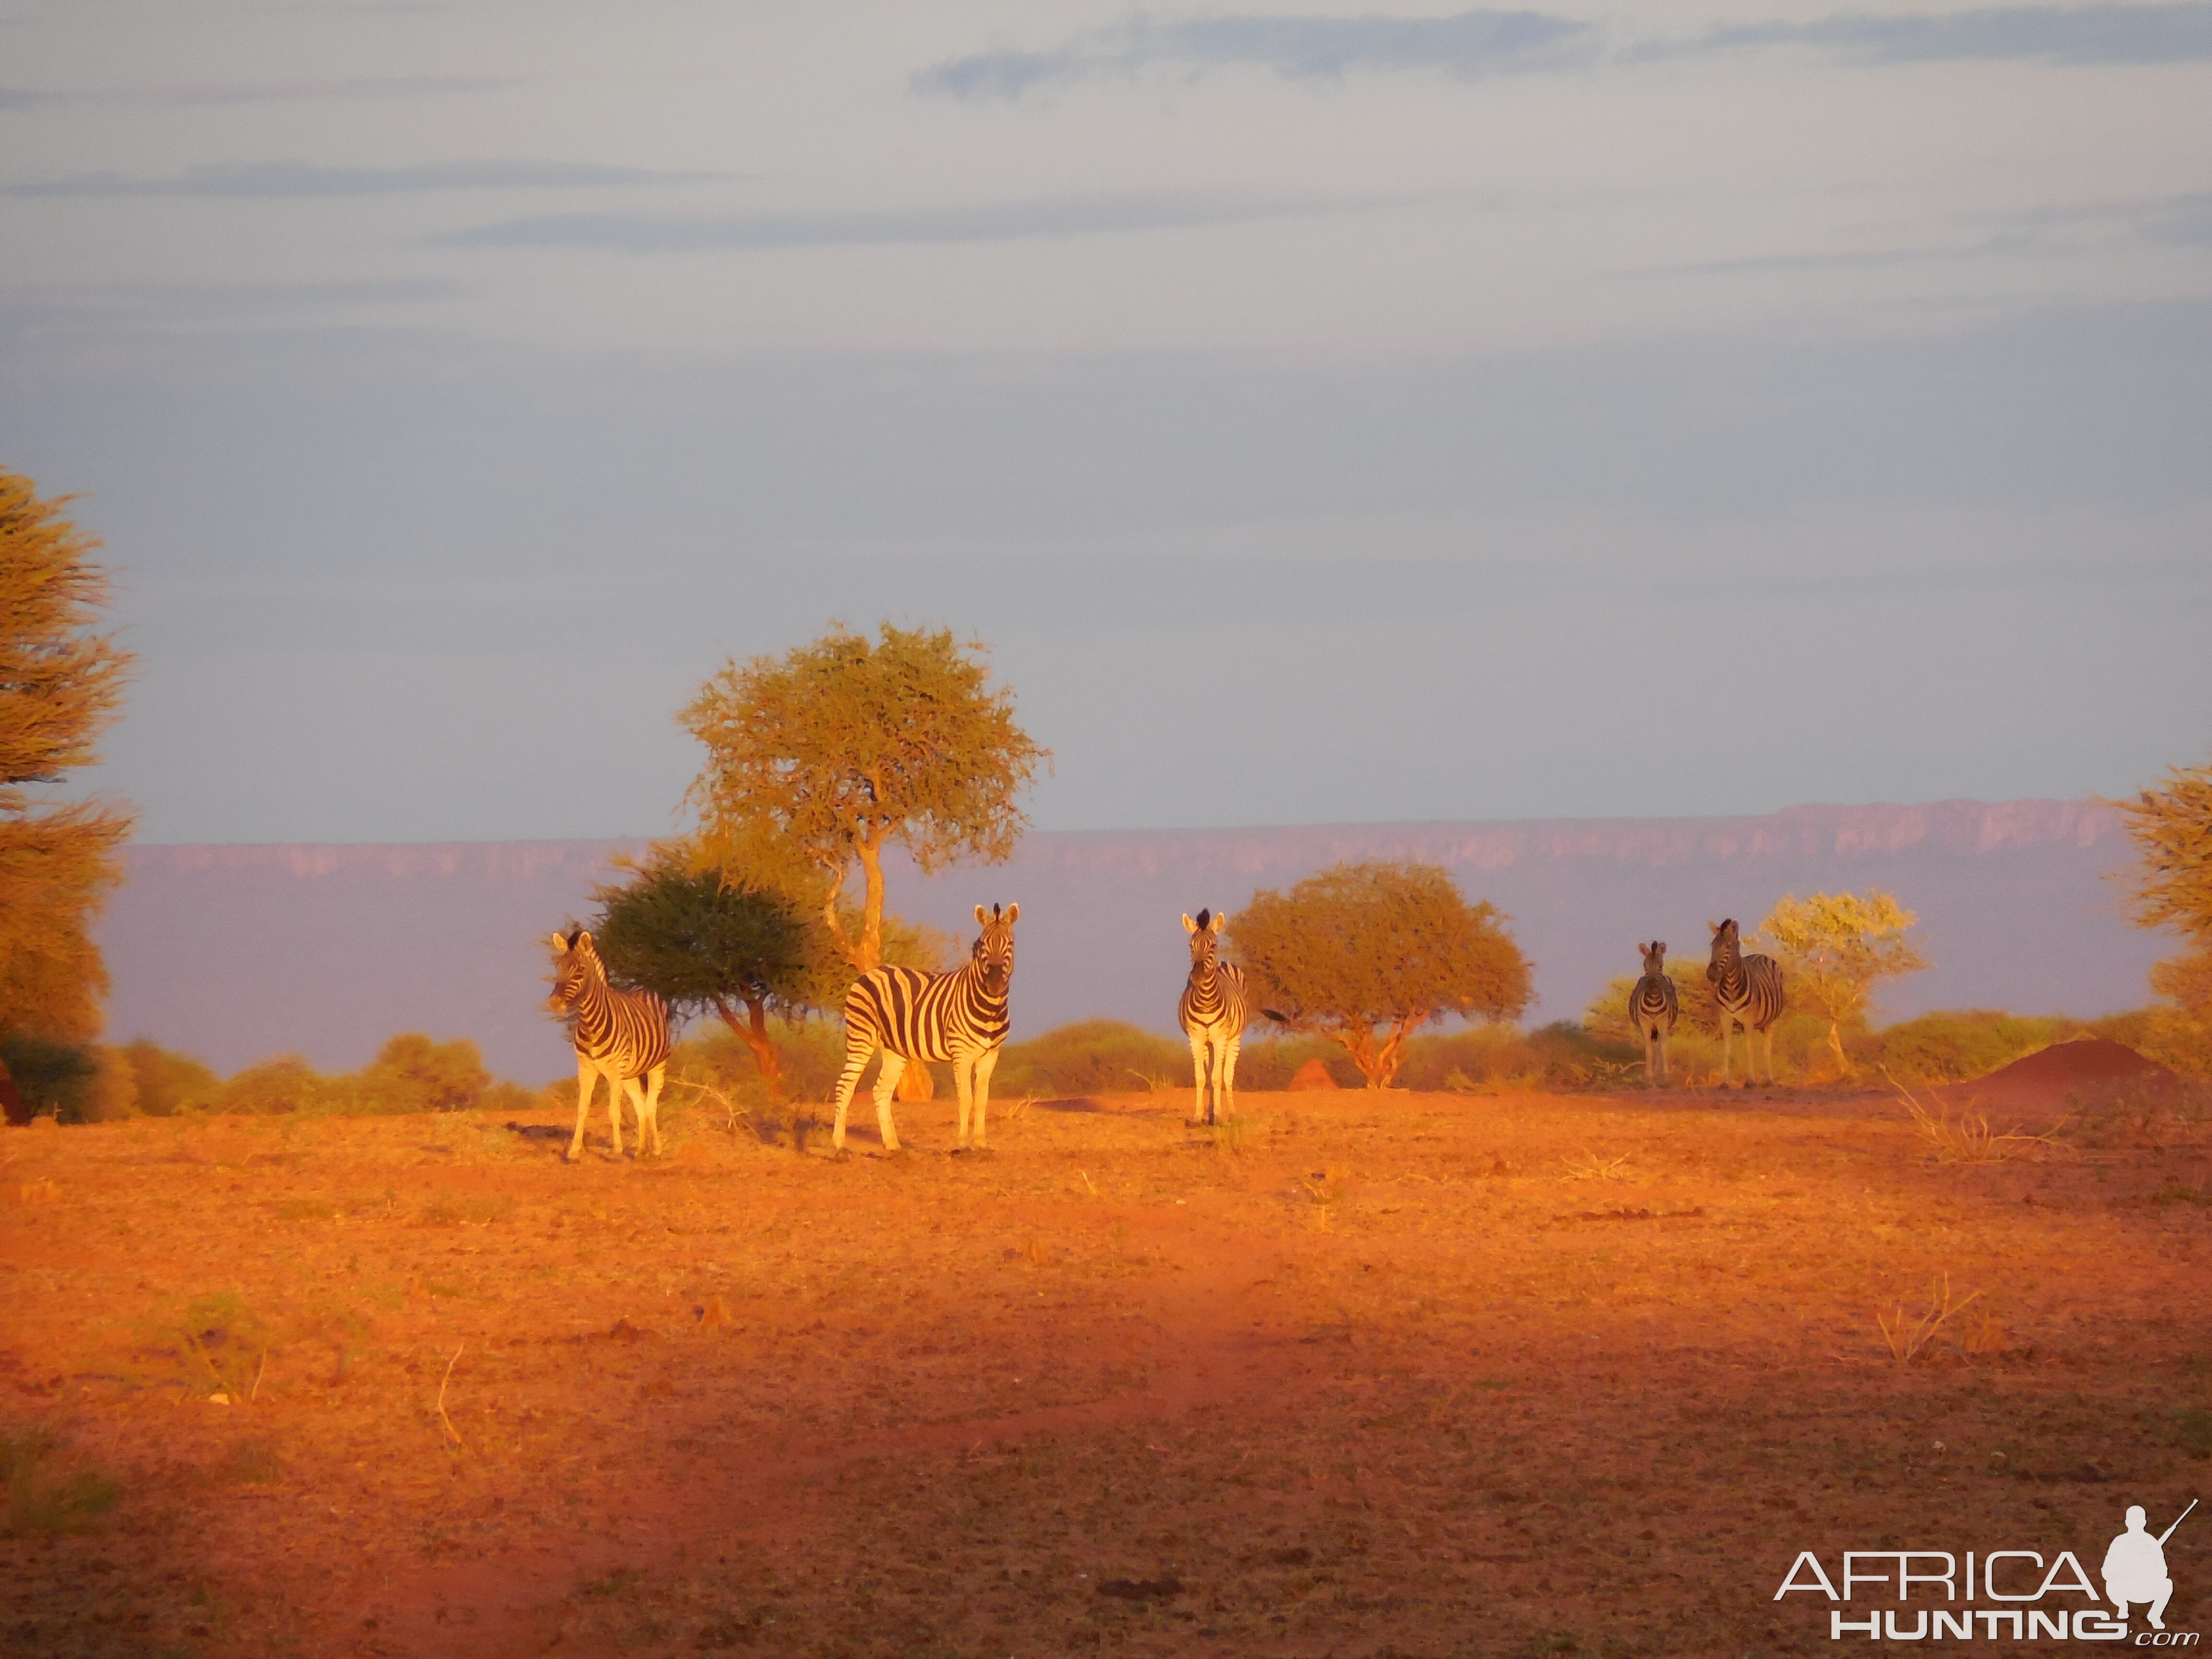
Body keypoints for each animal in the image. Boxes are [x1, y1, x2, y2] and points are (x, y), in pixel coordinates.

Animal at [541, 929, 668, 1159]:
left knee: (651, 1106)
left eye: (580, 971)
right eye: (558, 968)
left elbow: (613, 1111)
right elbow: (582, 1109)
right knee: (640, 1107)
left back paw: (655, 1149)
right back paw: (640, 1150)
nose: (554, 1004)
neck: (590, 1024)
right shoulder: (586, 1068)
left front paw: (617, 1151)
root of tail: (643, 988)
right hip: (629, 1075)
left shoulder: (614, 1072)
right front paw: (574, 1151)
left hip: (657, 1065)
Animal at [831, 911, 1017, 1159]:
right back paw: (839, 1145)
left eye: (1010, 944)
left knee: (881, 1091)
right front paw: (963, 1145)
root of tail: (871, 972)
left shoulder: (991, 1054)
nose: (995, 985)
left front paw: (981, 1144)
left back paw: (892, 1145)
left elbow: (982, 1100)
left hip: (894, 1049)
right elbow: (966, 1098)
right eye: (983, 945)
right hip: (861, 1035)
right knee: (845, 1086)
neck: (990, 1007)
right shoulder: (962, 1053)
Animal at [1177, 911, 1247, 1132]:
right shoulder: (1196, 1038)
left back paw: (1230, 1113)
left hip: (1233, 1039)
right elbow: (1202, 1078)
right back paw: (1210, 1116)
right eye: (1191, 945)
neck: (1206, 1000)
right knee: (1210, 1074)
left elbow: (1218, 1077)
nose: (1197, 977)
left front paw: (1220, 1116)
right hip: (1209, 1043)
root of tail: (1223, 963)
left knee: (1227, 1074)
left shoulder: (1221, 1037)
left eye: (1213, 945)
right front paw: (1199, 1117)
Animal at [1628, 947, 1672, 1093]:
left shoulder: (1663, 1023)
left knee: (1658, 1047)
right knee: (1652, 1047)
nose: (1652, 983)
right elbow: (1649, 1050)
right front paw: (1649, 1078)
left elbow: (1663, 1049)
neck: (1653, 1001)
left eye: (1660, 966)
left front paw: (1665, 1078)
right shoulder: (1645, 1024)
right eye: (1645, 965)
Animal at [1698, 925, 1787, 1093]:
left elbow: (1749, 1049)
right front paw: (1725, 1083)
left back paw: (1769, 1081)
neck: (1732, 988)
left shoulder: (1748, 1020)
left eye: (1728, 946)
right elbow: (1727, 1049)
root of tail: (1760, 955)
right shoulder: (1725, 1019)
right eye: (1713, 946)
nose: (1711, 974)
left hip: (1772, 1021)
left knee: (1767, 1049)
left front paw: (1750, 1081)